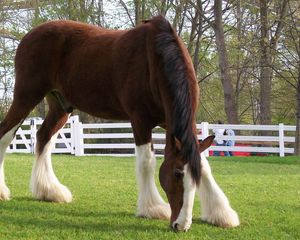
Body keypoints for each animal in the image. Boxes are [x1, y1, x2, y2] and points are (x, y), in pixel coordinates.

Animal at [0, 15, 239, 232]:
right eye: (177, 174)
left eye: (194, 180)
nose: (181, 225)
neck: (155, 60)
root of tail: (30, 35)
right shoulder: (140, 120)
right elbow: (147, 162)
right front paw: (152, 208)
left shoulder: (168, 123)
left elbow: (203, 164)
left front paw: (221, 214)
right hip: (26, 96)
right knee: (6, 135)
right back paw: (3, 191)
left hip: (60, 106)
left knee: (44, 138)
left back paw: (49, 191)